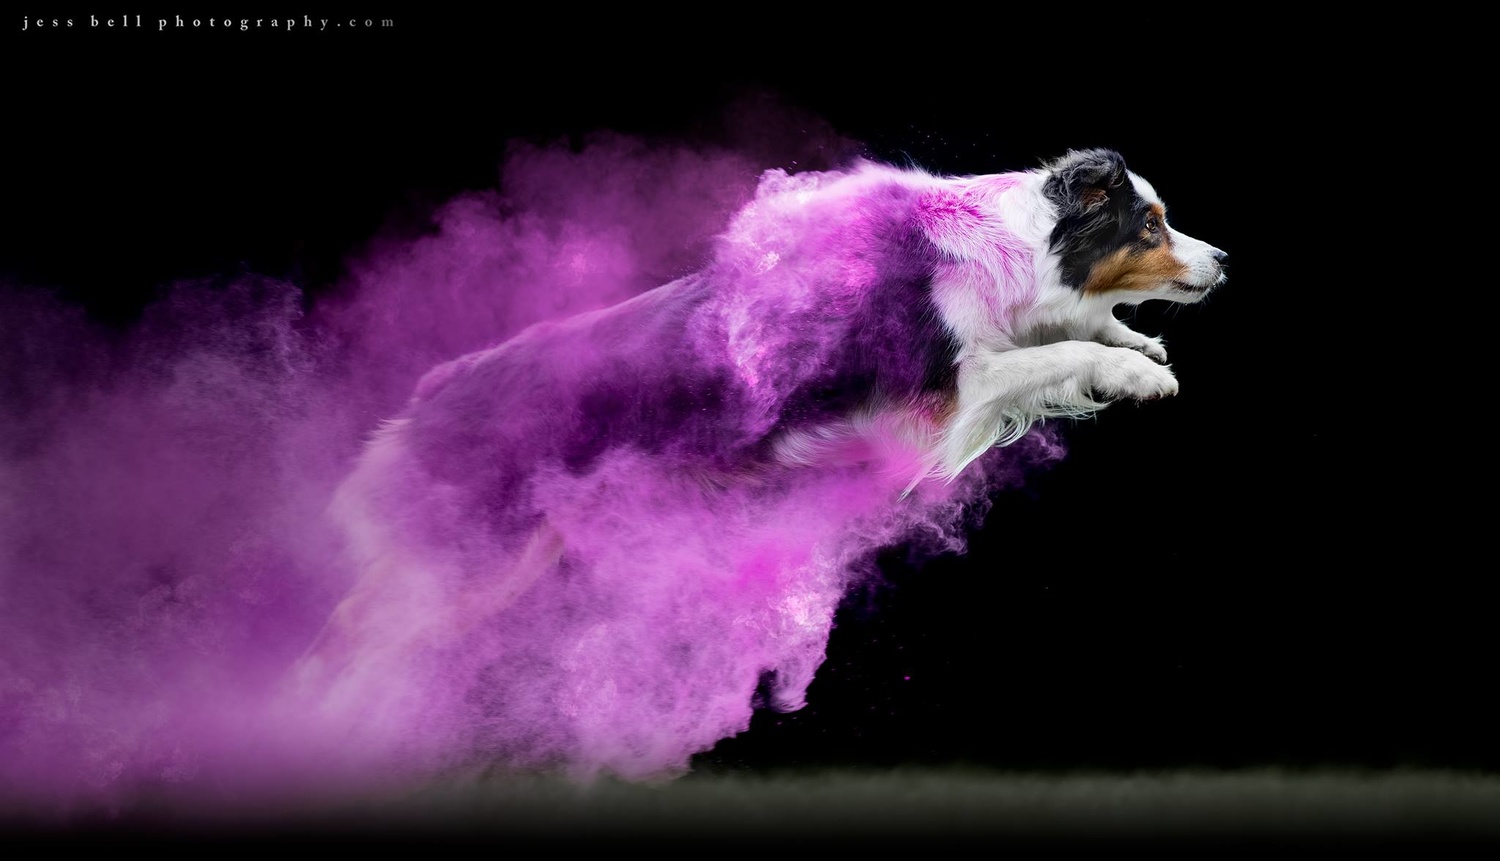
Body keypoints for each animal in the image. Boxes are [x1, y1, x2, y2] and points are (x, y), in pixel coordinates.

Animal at [289, 148, 1218, 780]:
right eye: (1150, 224)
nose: (1227, 260)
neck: (1022, 244)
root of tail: (431, 395)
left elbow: (1070, 334)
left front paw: (1136, 344)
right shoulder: (951, 388)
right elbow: (1052, 352)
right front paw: (1140, 373)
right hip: (472, 557)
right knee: (345, 630)